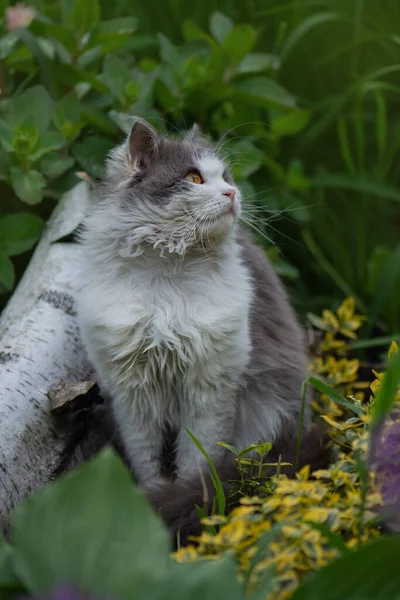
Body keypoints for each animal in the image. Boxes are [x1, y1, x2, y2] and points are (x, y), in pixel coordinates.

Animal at [76, 119, 324, 548]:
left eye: (225, 176)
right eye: (193, 178)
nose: (232, 193)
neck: (166, 277)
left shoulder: (209, 388)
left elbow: (197, 462)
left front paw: (197, 503)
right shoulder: (131, 393)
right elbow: (147, 460)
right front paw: (147, 502)